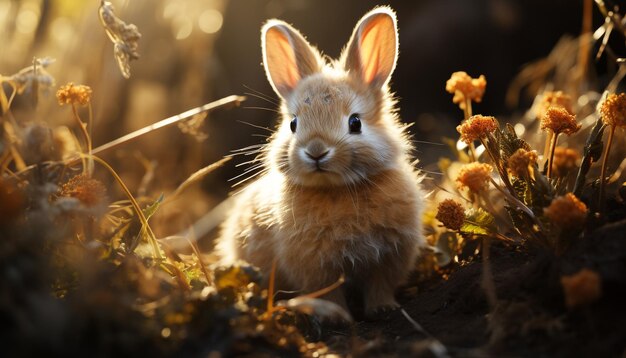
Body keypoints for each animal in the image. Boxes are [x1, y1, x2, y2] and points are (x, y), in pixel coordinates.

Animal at [216, 6, 424, 316]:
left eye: (355, 122)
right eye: (293, 124)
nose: (316, 151)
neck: (337, 189)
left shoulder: (391, 255)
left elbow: (380, 285)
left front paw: (382, 308)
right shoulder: (313, 265)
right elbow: (327, 292)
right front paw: (337, 318)